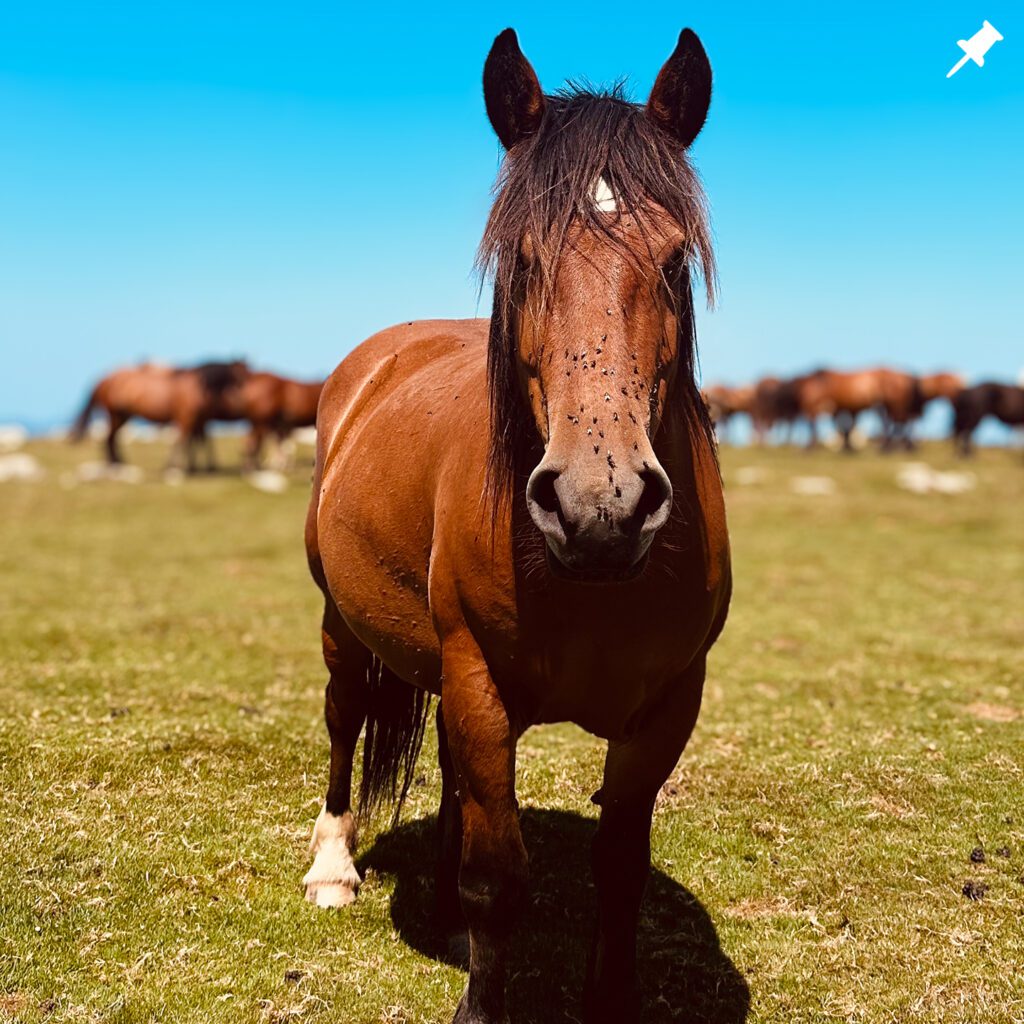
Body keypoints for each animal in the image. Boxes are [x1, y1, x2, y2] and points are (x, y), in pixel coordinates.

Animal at [70, 360, 249, 471]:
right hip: (115, 414)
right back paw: (115, 463)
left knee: (111, 438)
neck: (195, 387)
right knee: (110, 438)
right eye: (240, 376)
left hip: (122, 416)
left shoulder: (195, 420)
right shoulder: (186, 418)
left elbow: (193, 441)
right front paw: (175, 468)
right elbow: (182, 441)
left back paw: (118, 462)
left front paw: (194, 467)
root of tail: (102, 380)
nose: (246, 397)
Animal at [299, 28, 733, 1024]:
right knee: (343, 721)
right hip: (343, 623)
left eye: (673, 261)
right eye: (525, 260)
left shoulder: (666, 708)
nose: (600, 506)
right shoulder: (481, 685)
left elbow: (620, 872)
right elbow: (500, 880)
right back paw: (334, 867)